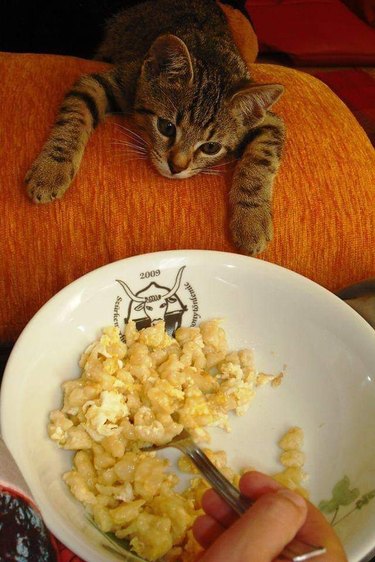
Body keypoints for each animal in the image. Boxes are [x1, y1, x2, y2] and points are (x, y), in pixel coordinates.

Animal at [25, 0, 284, 254]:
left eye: (211, 147)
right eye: (166, 127)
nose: (176, 167)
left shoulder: (269, 121)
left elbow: (261, 161)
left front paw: (252, 222)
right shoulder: (107, 82)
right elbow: (75, 115)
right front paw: (50, 170)